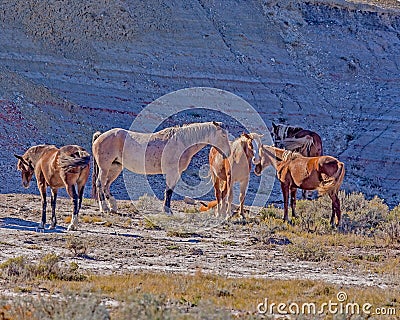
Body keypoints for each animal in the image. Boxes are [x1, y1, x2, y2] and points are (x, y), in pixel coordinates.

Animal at [92, 121, 230, 214]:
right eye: (223, 135)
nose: (227, 153)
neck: (181, 142)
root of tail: (100, 136)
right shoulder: (172, 172)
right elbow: (168, 191)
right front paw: (167, 210)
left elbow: (169, 191)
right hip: (105, 168)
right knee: (100, 184)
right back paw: (104, 208)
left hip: (114, 168)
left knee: (106, 185)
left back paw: (113, 207)